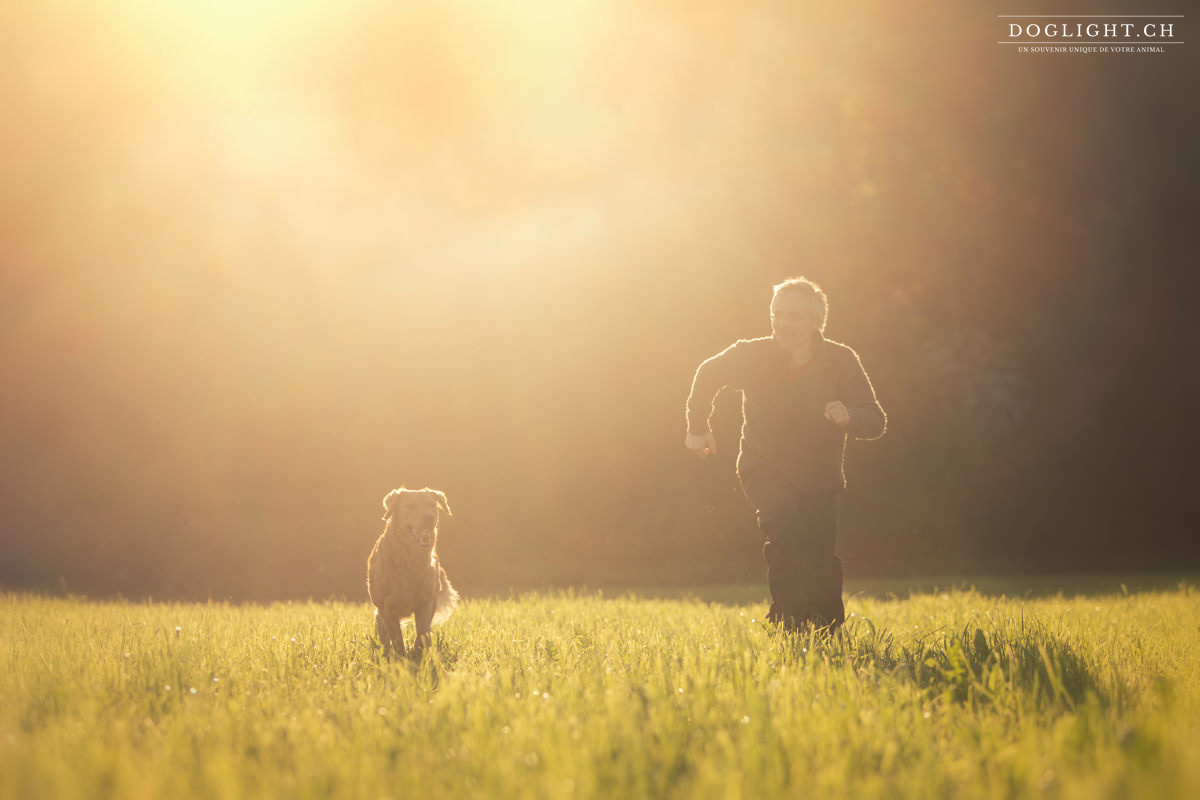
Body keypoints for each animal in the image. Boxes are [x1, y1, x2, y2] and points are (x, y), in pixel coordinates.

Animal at [364, 489, 458, 657]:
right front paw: (402, 656)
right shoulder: (386, 608)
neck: (408, 559)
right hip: (379, 615)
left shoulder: (426, 603)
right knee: (384, 638)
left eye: (431, 505)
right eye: (410, 506)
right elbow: (397, 639)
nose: (429, 517)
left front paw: (416, 653)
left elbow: (423, 634)